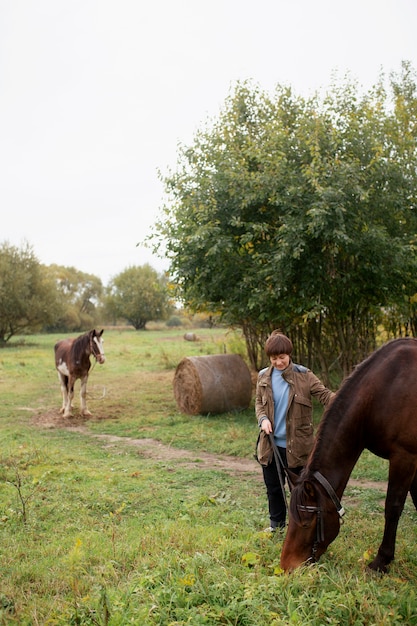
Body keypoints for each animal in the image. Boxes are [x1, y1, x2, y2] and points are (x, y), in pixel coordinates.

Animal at [280, 336, 417, 572]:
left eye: (307, 521)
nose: (286, 565)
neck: (383, 391)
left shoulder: (405, 457)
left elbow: (393, 507)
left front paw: (381, 561)